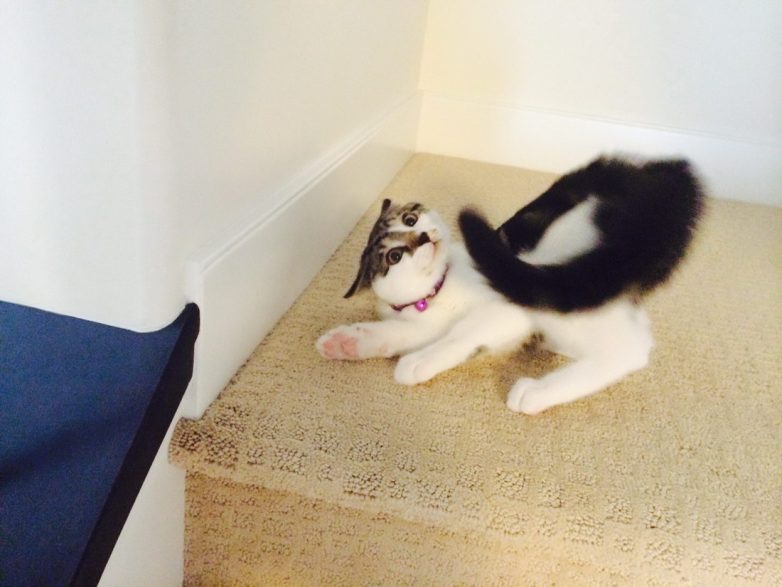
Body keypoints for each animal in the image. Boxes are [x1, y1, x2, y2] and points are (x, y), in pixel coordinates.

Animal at [317, 156, 704, 414]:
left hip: (556, 285)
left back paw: (536, 392)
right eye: (394, 256)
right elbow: (395, 332)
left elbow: (462, 334)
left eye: (411, 219)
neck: (443, 287)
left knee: (629, 350)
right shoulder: (424, 322)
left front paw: (420, 361)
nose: (423, 237)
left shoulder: (507, 305)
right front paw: (346, 342)